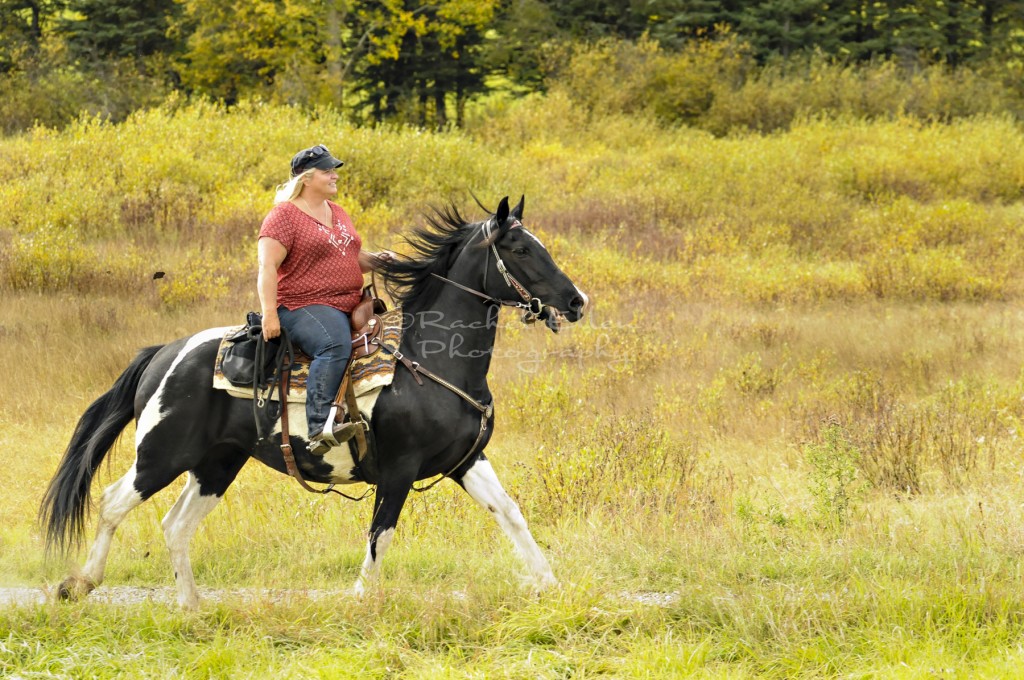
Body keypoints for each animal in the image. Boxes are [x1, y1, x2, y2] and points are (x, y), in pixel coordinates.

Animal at [41, 193, 585, 606]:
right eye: (520, 248)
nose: (576, 301)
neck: (428, 359)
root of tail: (164, 352)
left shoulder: (465, 461)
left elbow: (510, 512)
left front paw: (551, 585)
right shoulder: (399, 469)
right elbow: (380, 536)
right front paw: (361, 599)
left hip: (217, 464)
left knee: (176, 526)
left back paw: (192, 606)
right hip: (161, 454)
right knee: (113, 502)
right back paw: (80, 584)